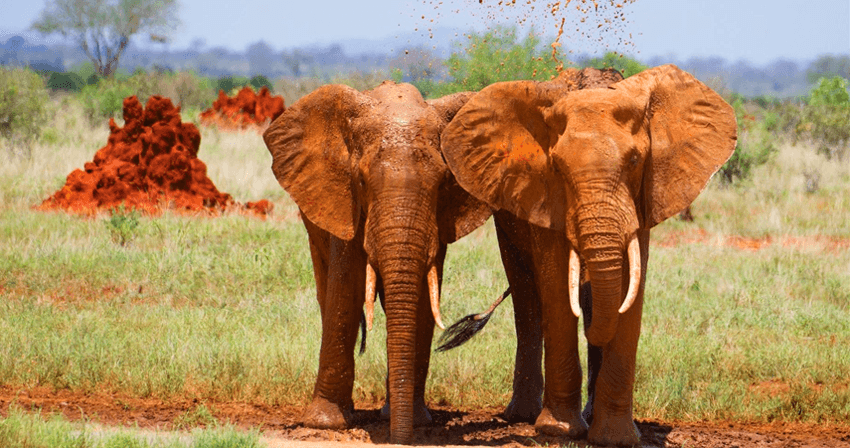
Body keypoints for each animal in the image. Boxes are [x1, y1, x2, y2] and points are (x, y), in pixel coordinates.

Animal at [262, 80, 494, 444]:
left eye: (444, 183)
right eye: (360, 181)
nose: (400, 438)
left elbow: (422, 297)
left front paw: (417, 421)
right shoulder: (344, 201)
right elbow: (346, 289)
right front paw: (326, 424)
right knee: (327, 292)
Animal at [440, 65, 732, 446]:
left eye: (635, 161)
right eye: (557, 167)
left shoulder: (644, 197)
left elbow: (630, 291)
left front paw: (616, 438)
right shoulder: (544, 196)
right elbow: (556, 291)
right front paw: (557, 432)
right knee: (527, 298)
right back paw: (523, 416)